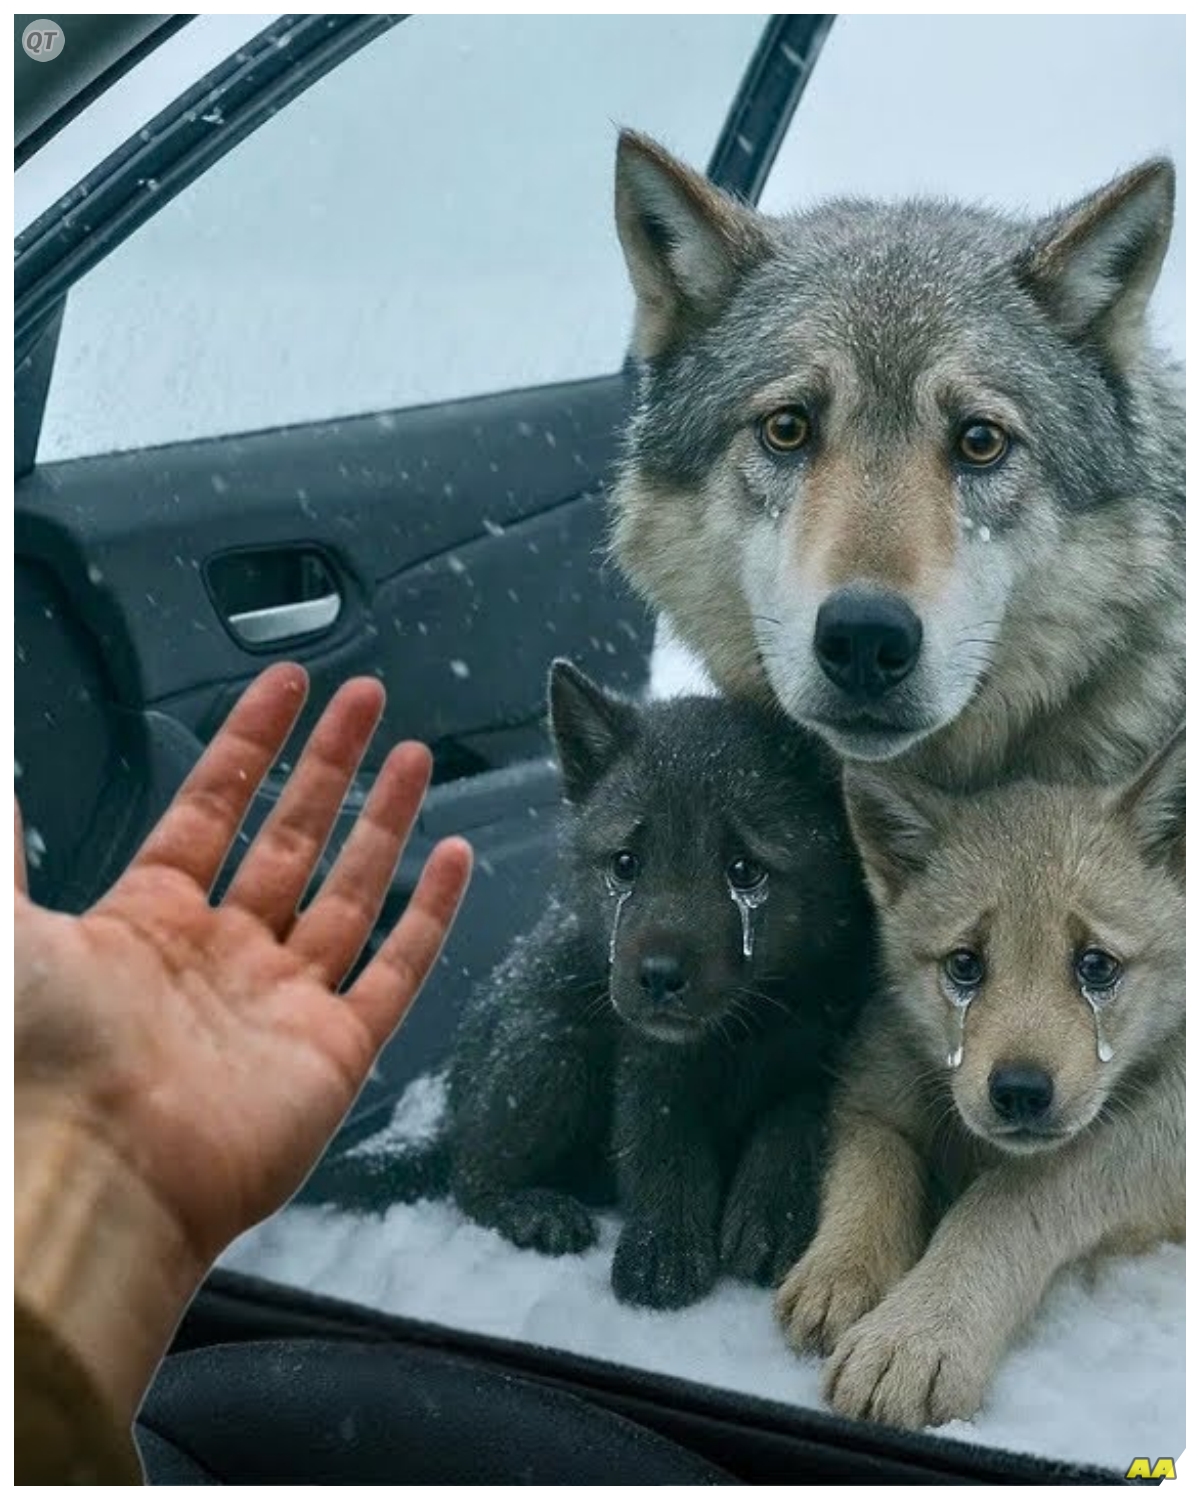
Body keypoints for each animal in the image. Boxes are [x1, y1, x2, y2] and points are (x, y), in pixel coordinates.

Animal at [314, 659, 876, 1309]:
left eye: (745, 872)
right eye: (625, 864)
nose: (657, 979)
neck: (743, 1027)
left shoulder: (823, 1057)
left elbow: (789, 1127)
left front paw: (770, 1218)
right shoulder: (648, 1062)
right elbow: (662, 1151)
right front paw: (661, 1248)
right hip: (550, 1050)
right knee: (469, 1171)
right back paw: (532, 1209)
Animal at [774, 728, 1185, 1428]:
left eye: (1097, 966)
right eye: (965, 965)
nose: (1019, 1090)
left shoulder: (1158, 1128)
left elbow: (1004, 1202)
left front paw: (917, 1334)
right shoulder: (869, 1092)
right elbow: (872, 1169)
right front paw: (842, 1271)